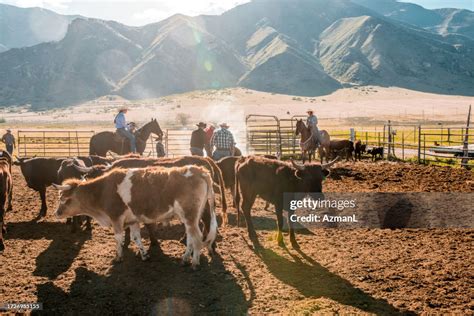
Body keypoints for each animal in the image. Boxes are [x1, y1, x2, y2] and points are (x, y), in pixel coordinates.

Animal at [53, 165, 217, 270]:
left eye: (64, 199)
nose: (57, 213)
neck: (102, 191)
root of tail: (200, 170)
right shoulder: (133, 221)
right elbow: (136, 237)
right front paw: (144, 255)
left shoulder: (116, 218)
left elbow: (118, 238)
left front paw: (118, 257)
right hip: (191, 217)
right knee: (190, 237)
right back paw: (185, 259)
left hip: (190, 216)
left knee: (197, 237)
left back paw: (194, 262)